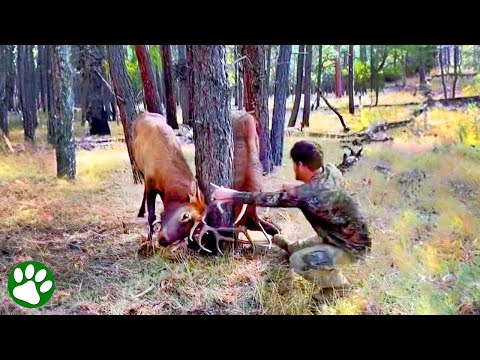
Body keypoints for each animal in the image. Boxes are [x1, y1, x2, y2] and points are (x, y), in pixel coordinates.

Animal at [133, 109, 280, 253]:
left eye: (192, 230)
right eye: (185, 216)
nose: (163, 241)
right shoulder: (150, 181)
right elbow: (151, 216)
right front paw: (149, 241)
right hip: (138, 165)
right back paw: (140, 211)